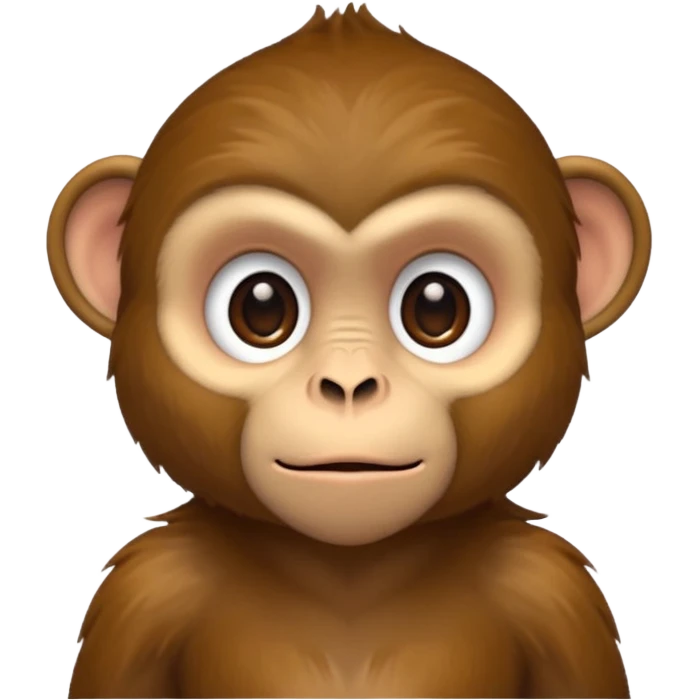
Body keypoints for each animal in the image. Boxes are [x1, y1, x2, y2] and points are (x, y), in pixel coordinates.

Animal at [47, 3, 653, 699]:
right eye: (261, 307)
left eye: (436, 307)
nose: (348, 385)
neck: (349, 569)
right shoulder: (148, 593)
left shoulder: (551, 592)